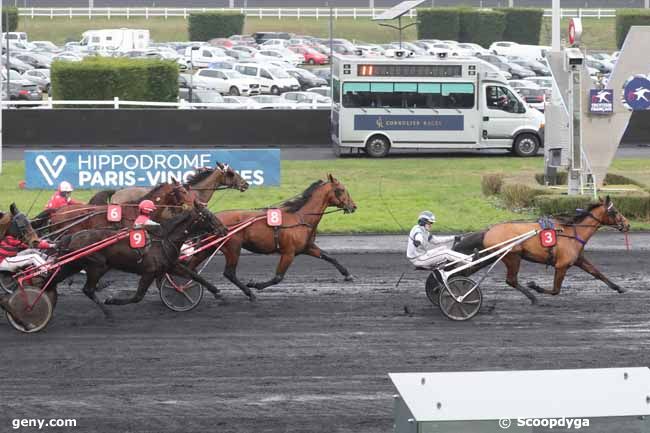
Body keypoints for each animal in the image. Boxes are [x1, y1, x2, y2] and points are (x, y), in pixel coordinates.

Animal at [47, 204, 228, 318]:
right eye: (208, 215)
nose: (225, 230)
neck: (164, 238)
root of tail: (71, 237)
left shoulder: (171, 265)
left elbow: (195, 276)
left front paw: (217, 293)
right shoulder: (149, 272)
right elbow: (138, 297)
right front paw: (112, 300)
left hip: (73, 265)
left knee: (54, 281)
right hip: (96, 266)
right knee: (88, 290)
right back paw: (108, 312)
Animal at [182, 174, 356, 298]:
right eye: (341, 190)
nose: (353, 206)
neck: (300, 217)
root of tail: (213, 218)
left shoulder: (307, 247)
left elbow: (329, 257)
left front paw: (348, 275)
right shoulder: (288, 252)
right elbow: (278, 277)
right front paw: (255, 285)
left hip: (210, 247)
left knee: (191, 267)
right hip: (233, 248)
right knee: (228, 273)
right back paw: (248, 293)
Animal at [450, 197, 628, 304]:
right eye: (615, 212)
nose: (627, 224)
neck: (572, 233)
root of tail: (488, 230)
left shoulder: (578, 260)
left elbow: (597, 273)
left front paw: (619, 288)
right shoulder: (562, 265)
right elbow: (556, 290)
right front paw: (535, 286)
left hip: (492, 255)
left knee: (465, 271)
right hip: (512, 256)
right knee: (511, 280)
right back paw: (533, 297)